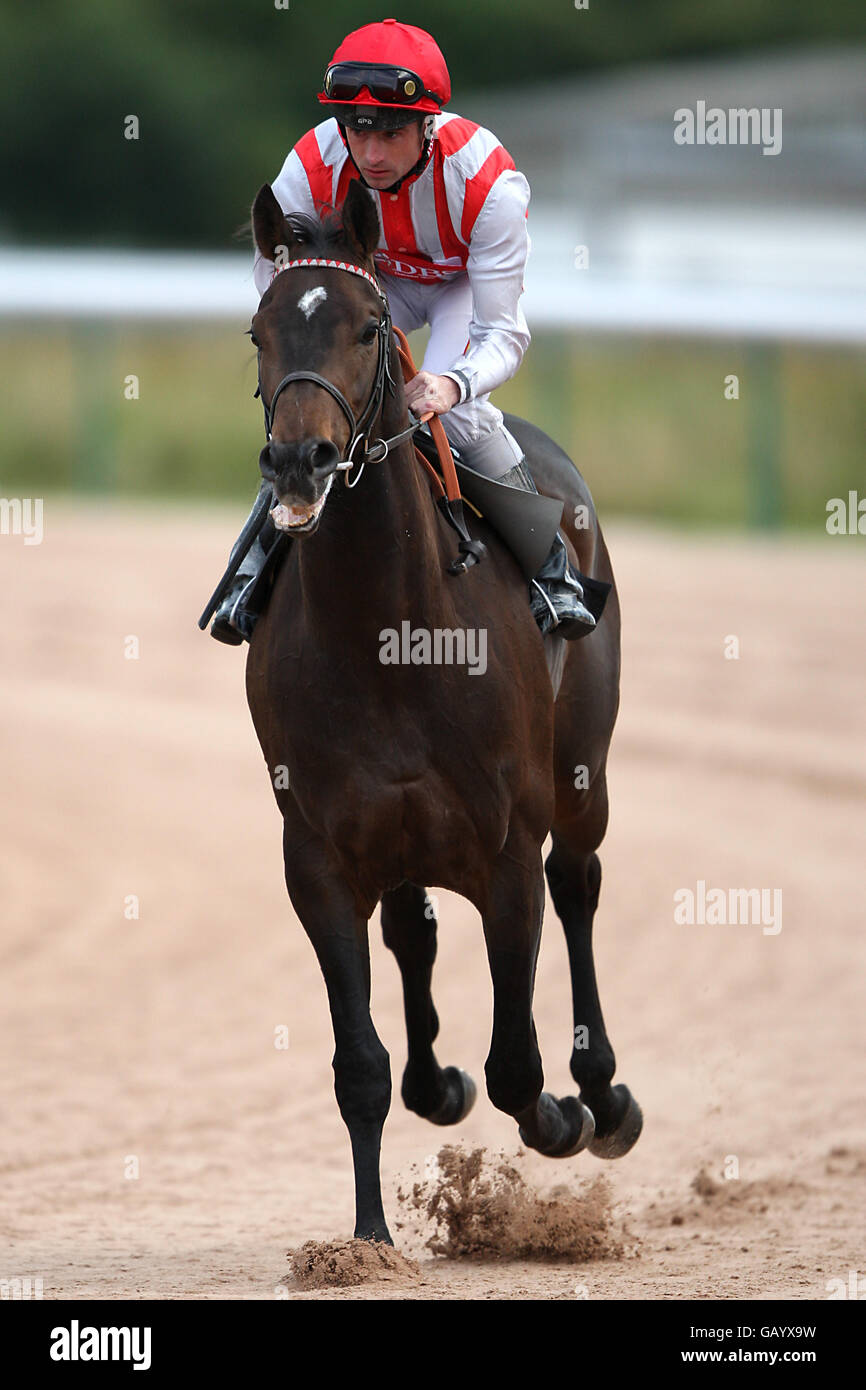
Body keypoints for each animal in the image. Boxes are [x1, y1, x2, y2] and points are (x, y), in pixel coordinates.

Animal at [244, 179, 644, 1245]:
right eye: (259, 330)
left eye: (368, 325)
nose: (299, 460)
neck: (390, 634)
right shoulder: (319, 856)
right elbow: (361, 1066)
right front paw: (367, 1242)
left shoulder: (507, 847)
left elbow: (517, 1064)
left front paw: (566, 1115)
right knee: (414, 932)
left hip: (582, 771)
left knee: (579, 882)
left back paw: (604, 1092)